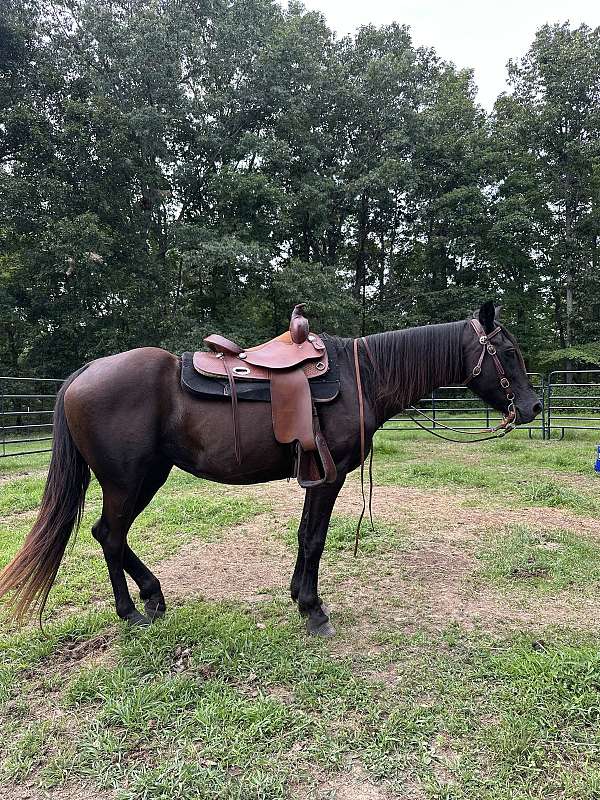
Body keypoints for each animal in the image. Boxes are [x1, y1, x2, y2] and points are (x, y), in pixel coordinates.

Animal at [0, 301, 541, 636]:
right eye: (508, 352)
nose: (534, 406)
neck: (362, 376)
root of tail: (85, 373)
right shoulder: (330, 476)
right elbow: (314, 538)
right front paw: (314, 611)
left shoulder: (317, 475)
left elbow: (304, 535)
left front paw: (298, 595)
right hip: (128, 480)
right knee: (110, 535)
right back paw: (132, 611)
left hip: (144, 477)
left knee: (108, 534)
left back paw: (152, 598)